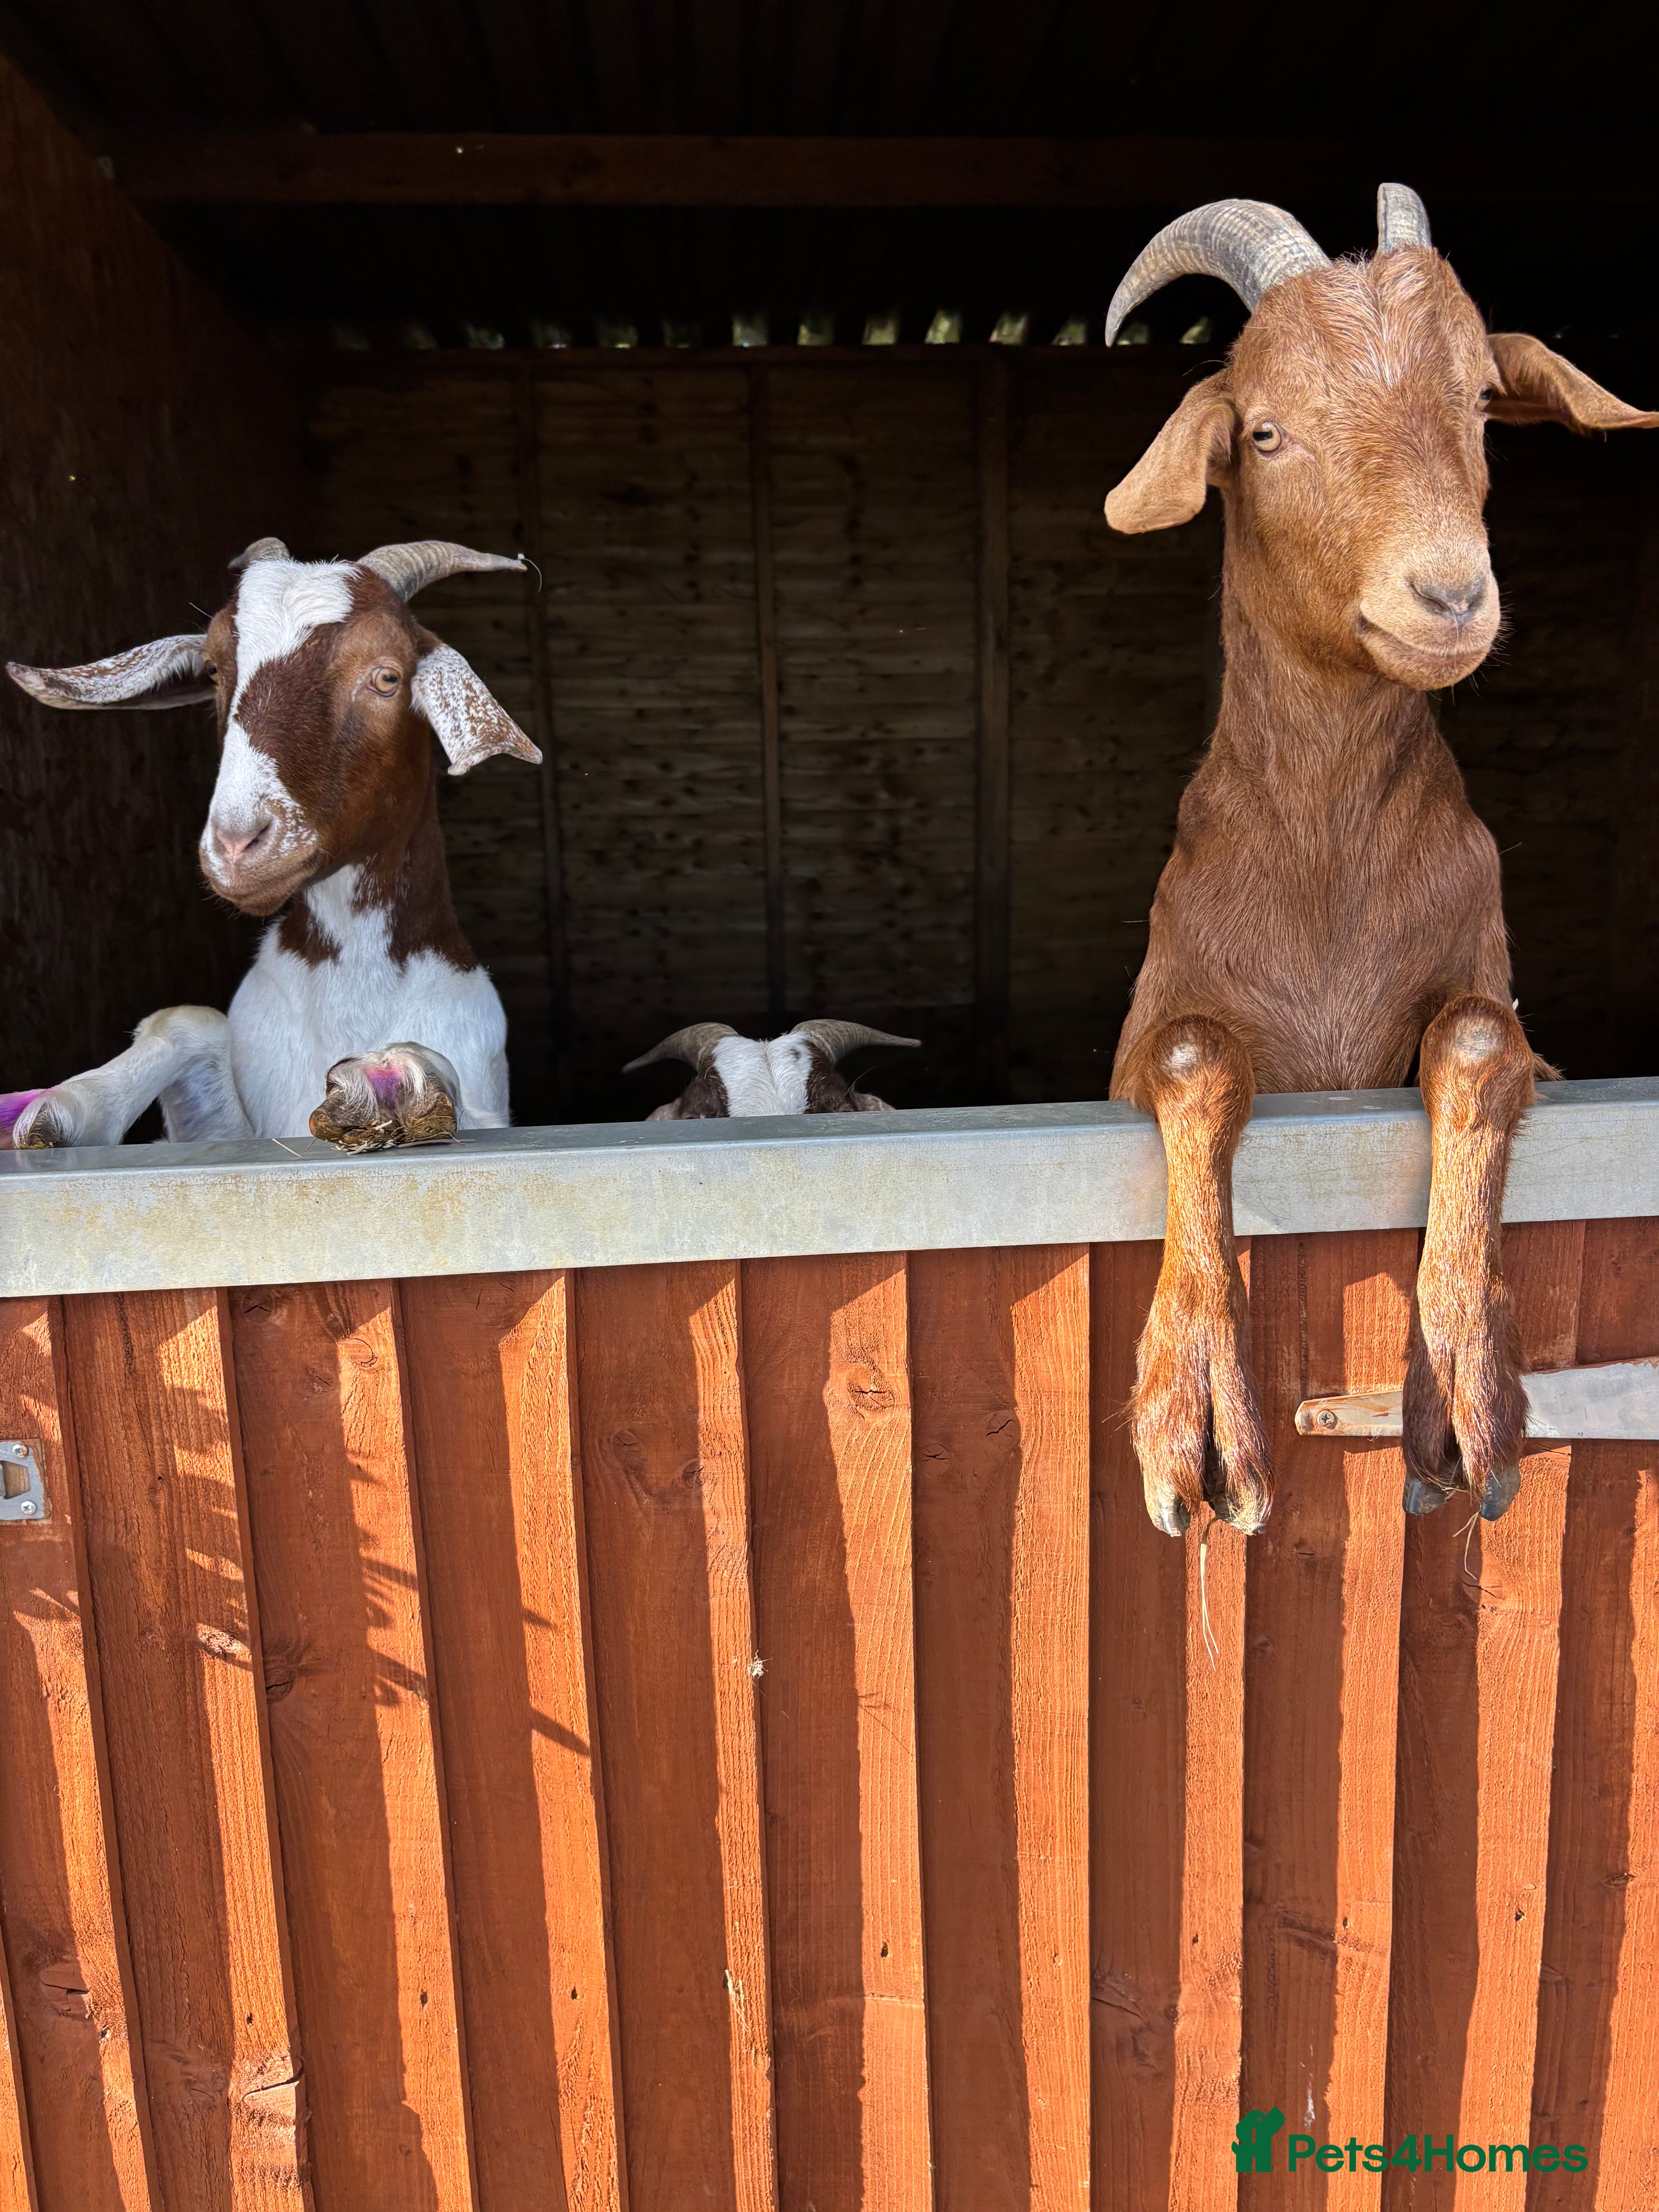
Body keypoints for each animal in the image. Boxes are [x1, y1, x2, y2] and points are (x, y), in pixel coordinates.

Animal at [2, 537, 539, 1152]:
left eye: (388, 677)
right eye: (214, 670)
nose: (237, 844)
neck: (354, 976)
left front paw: (391, 1085)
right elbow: (188, 1018)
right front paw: (65, 1107)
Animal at [1102, 184, 1656, 1537]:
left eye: (1478, 402)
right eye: (1263, 431)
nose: (1449, 594)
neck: (1326, 879)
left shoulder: (1500, 1005)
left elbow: (1477, 1038)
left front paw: (1468, 1395)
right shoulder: (1145, 1036)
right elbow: (1195, 1061)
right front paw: (1195, 1420)